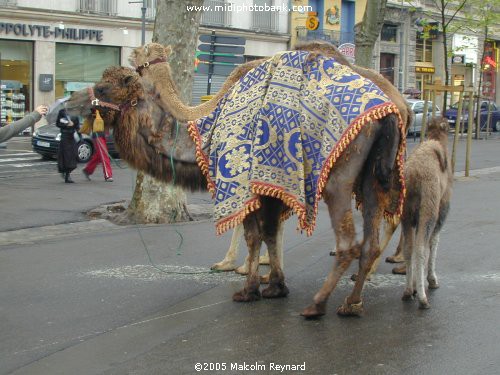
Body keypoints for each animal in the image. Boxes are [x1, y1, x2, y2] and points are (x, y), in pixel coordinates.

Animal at [67, 48, 406, 318]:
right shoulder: (271, 190)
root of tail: (391, 111)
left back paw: (318, 304)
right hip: (372, 180)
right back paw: (352, 303)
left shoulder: (243, 181)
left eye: (104, 87)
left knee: (349, 243)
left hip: (338, 179)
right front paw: (275, 286)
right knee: (371, 240)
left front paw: (248, 289)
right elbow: (269, 233)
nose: (69, 101)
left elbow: (253, 235)